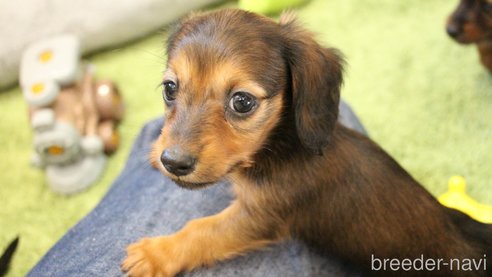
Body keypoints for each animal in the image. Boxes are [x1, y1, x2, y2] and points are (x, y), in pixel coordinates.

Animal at [121, 8, 490, 276]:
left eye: (242, 102)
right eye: (170, 88)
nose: (172, 162)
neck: (283, 144)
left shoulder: (262, 215)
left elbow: (203, 230)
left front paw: (156, 253)